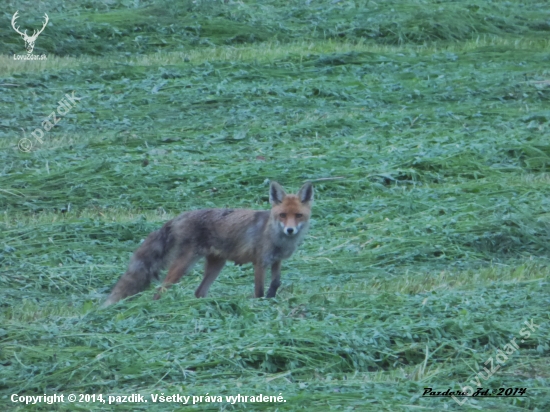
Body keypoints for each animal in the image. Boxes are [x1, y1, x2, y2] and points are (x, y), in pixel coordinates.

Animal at [101, 181, 312, 306]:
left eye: (298, 215)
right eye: (282, 215)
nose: (290, 230)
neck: (278, 239)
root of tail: (180, 216)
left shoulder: (276, 260)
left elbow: (276, 282)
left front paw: (271, 298)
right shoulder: (259, 263)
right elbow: (259, 291)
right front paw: (261, 304)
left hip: (216, 264)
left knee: (198, 292)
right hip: (184, 265)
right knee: (160, 289)